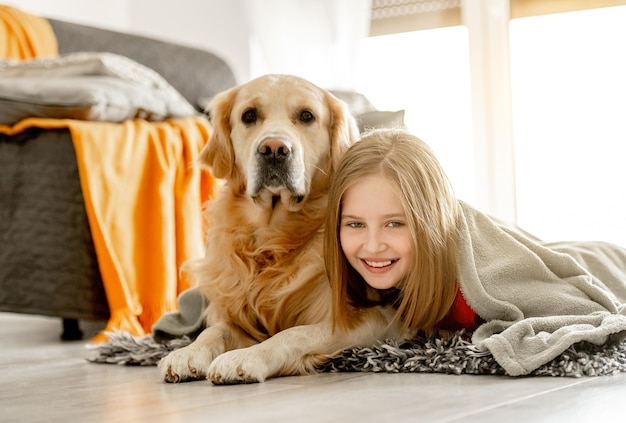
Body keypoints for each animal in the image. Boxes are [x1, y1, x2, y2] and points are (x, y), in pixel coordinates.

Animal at [158, 74, 398, 386]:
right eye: (249, 116)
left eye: (307, 116)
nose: (273, 148)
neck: (272, 239)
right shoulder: (239, 316)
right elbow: (215, 330)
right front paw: (188, 352)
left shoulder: (373, 319)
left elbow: (294, 333)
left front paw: (245, 357)